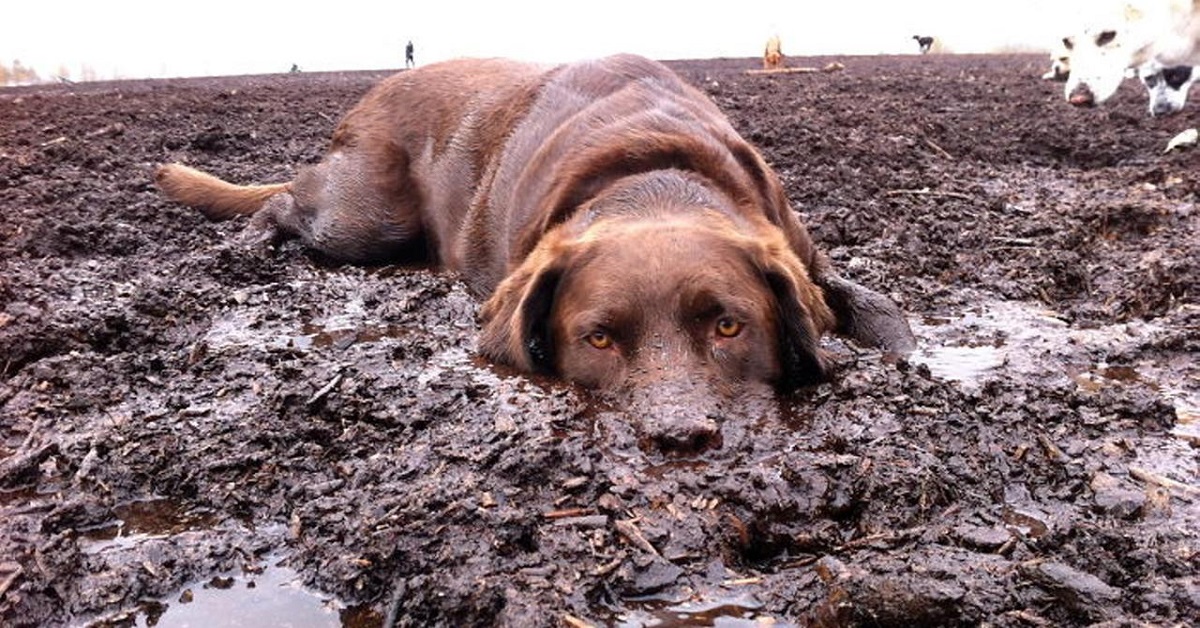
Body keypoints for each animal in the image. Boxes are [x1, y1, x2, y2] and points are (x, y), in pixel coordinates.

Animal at [154, 51, 912, 449]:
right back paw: (250, 241)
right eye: (598, 339)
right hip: (362, 218)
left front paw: (901, 352)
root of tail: (375, 87)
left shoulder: (799, 249)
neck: (654, 178)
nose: (677, 438)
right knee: (286, 200)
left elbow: (877, 306)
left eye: (730, 326)